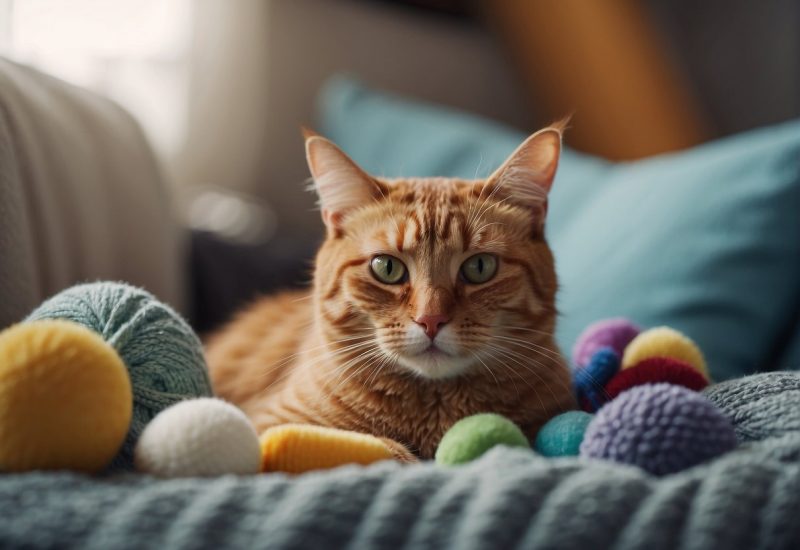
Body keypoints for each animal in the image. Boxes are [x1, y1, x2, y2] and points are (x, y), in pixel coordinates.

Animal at [205, 125, 576, 462]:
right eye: (387, 268)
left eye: (479, 267)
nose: (431, 319)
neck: (434, 411)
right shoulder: (266, 424)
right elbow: (371, 446)